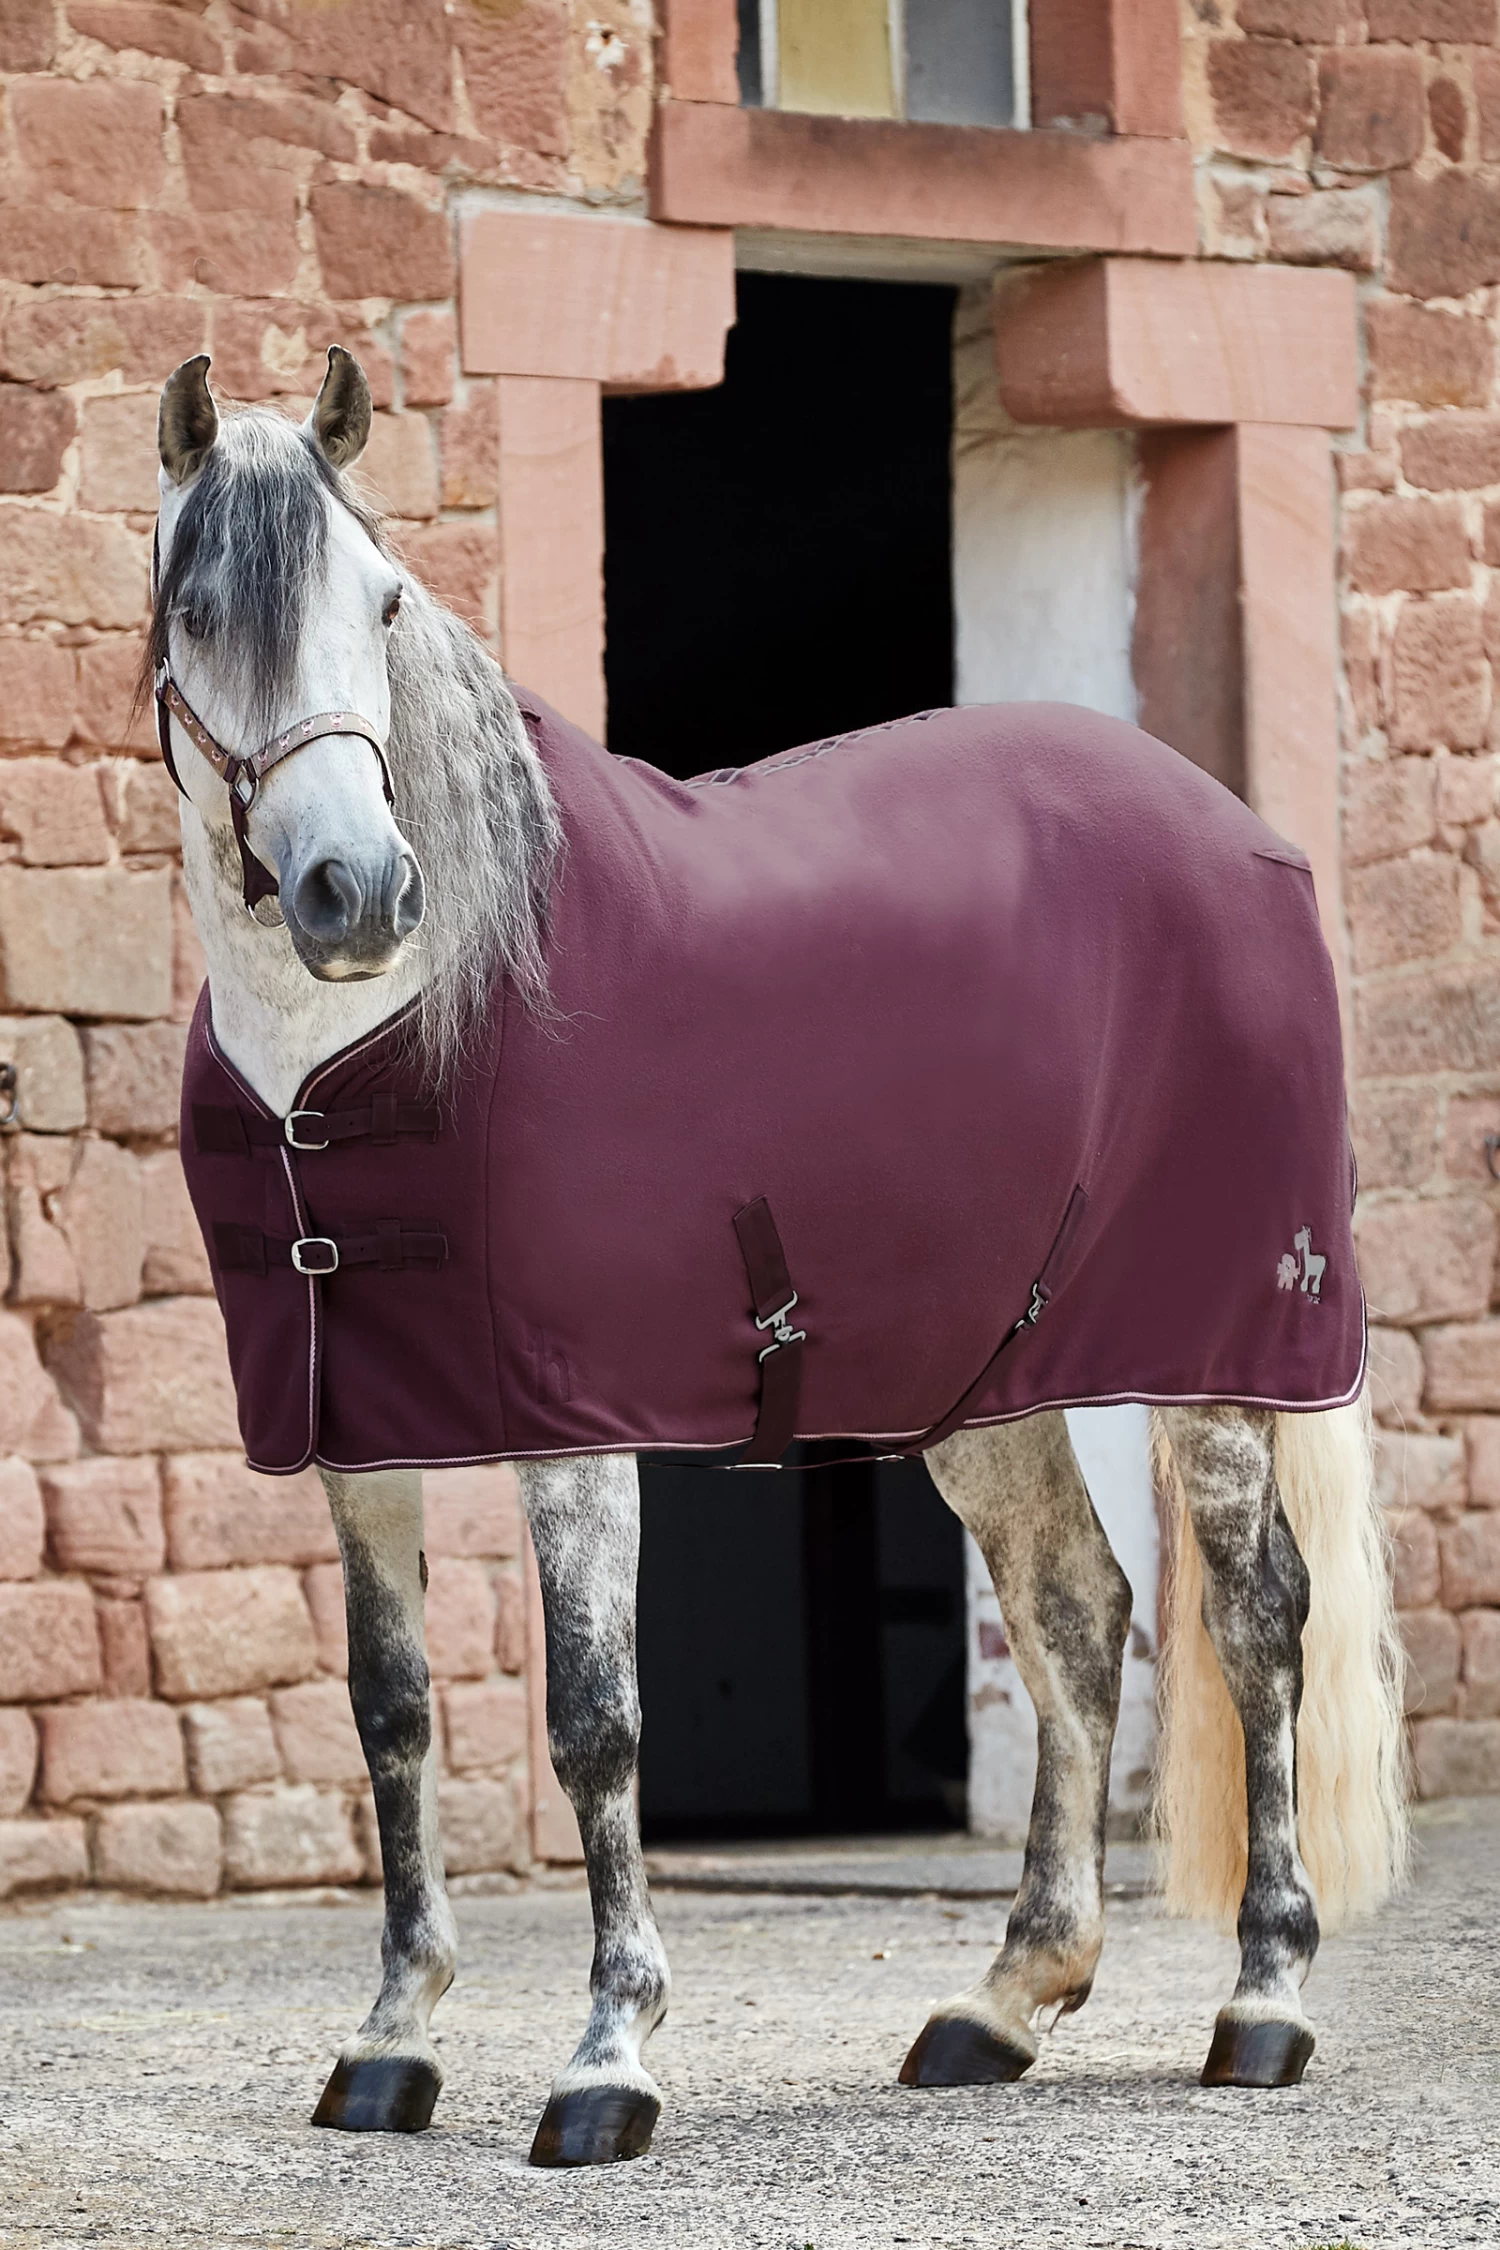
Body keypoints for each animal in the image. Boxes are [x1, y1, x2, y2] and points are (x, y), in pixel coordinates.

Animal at [145, 348, 1408, 2167]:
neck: (379, 1043)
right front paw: (389, 2044)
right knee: (1078, 1611)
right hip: (985, 1383)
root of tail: (1239, 833)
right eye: (196, 613)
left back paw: (1264, 2001)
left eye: (380, 602)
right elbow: (392, 1714)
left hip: (1223, 1361)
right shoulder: (356, 1442)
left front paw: (608, 2057)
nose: (355, 891)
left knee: (1256, 1622)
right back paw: (1001, 2000)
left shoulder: (576, 1430)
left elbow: (595, 1722)